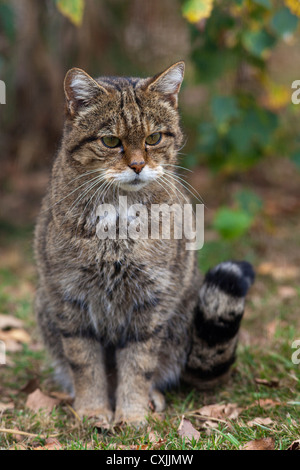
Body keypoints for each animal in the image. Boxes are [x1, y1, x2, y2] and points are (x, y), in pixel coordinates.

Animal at [34, 62, 255, 426]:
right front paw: (93, 410)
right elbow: (86, 365)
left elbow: (138, 365)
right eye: (111, 141)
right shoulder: (69, 297)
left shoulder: (151, 302)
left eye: (154, 138)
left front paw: (132, 413)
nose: (137, 165)